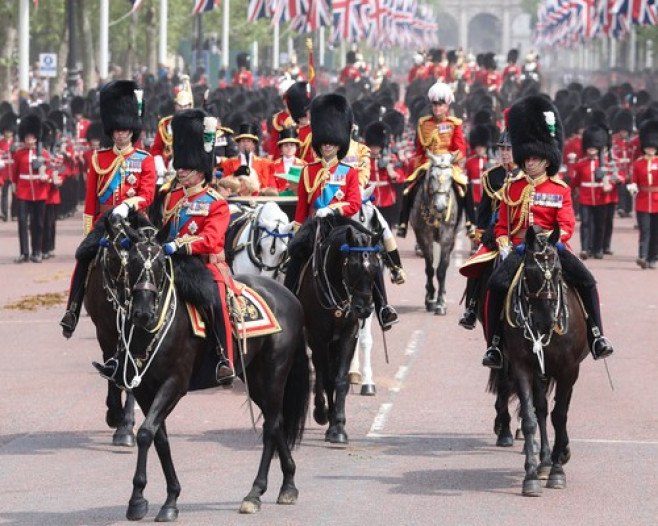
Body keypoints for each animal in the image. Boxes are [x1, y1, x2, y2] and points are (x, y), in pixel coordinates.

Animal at [96, 217, 308, 520]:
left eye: (160, 264)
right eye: (132, 262)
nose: (142, 313)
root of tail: (290, 296)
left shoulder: (174, 384)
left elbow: (147, 433)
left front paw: (140, 499)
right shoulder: (147, 389)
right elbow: (159, 438)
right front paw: (167, 498)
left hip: (274, 373)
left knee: (270, 427)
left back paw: (254, 493)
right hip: (255, 378)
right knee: (276, 422)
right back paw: (288, 485)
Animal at [296, 217, 382, 448]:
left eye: (376, 265)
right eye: (352, 265)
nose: (364, 309)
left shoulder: (348, 335)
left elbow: (340, 378)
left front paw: (339, 426)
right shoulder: (319, 337)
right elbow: (327, 378)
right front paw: (330, 419)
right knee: (319, 368)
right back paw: (320, 411)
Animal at [490, 228, 588, 500]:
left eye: (557, 270)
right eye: (530, 271)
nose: (545, 321)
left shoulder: (568, 369)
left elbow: (561, 416)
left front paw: (557, 472)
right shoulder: (523, 366)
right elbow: (531, 418)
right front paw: (532, 476)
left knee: (558, 410)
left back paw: (559, 455)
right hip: (538, 373)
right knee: (541, 408)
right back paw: (544, 460)